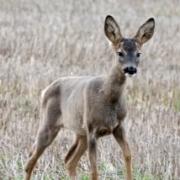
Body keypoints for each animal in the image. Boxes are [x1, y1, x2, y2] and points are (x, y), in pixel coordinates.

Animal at [24, 15, 155, 180]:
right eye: (120, 53)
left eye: (138, 53)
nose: (130, 69)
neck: (107, 97)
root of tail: (45, 90)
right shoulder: (92, 129)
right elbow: (94, 169)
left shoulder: (118, 126)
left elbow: (128, 155)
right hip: (49, 123)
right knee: (31, 160)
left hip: (80, 133)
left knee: (69, 160)